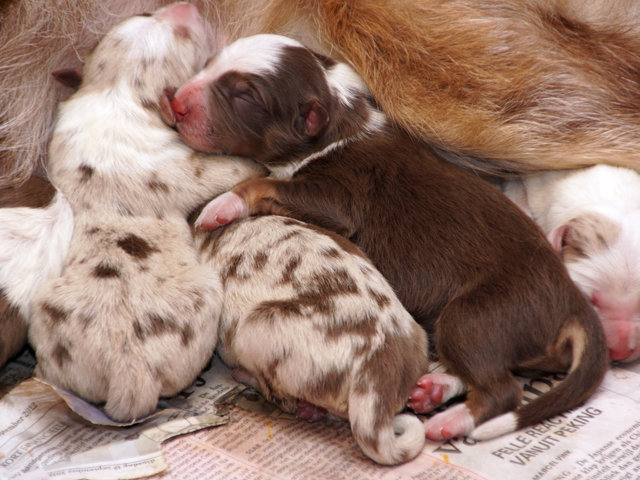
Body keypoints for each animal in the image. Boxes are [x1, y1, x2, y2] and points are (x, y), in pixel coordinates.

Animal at [27, 3, 265, 422]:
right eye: (185, 39)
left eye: (145, 13)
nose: (186, 7)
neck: (118, 90)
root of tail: (131, 374)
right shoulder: (191, 163)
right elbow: (230, 168)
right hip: (208, 297)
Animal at [165, 33, 609, 441]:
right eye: (210, 63)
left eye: (244, 95)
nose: (176, 102)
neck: (340, 122)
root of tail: (574, 303)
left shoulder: (339, 197)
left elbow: (263, 184)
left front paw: (221, 205)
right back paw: (433, 390)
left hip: (476, 315)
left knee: (503, 390)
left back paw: (448, 421)